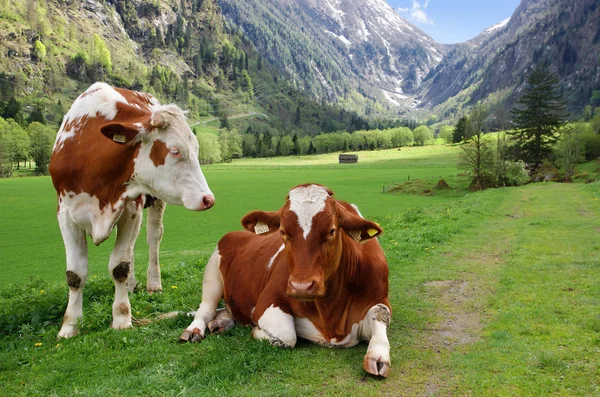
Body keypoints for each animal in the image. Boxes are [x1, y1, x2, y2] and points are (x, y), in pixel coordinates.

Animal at [49, 83, 214, 338]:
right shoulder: (65, 214)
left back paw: (152, 283)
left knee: (152, 237)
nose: (208, 199)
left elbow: (120, 265)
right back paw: (131, 285)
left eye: (196, 149)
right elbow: (75, 274)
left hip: (155, 201)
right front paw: (69, 326)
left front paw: (121, 317)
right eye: (175, 151)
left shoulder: (131, 207)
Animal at [180, 184, 392, 376]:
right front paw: (257, 331)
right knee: (206, 309)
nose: (301, 287)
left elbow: (380, 314)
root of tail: (236, 233)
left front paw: (378, 355)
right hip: (212, 272)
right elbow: (286, 335)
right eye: (282, 231)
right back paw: (195, 330)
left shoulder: (379, 297)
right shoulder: (267, 301)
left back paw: (221, 323)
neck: (331, 315)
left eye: (332, 231)